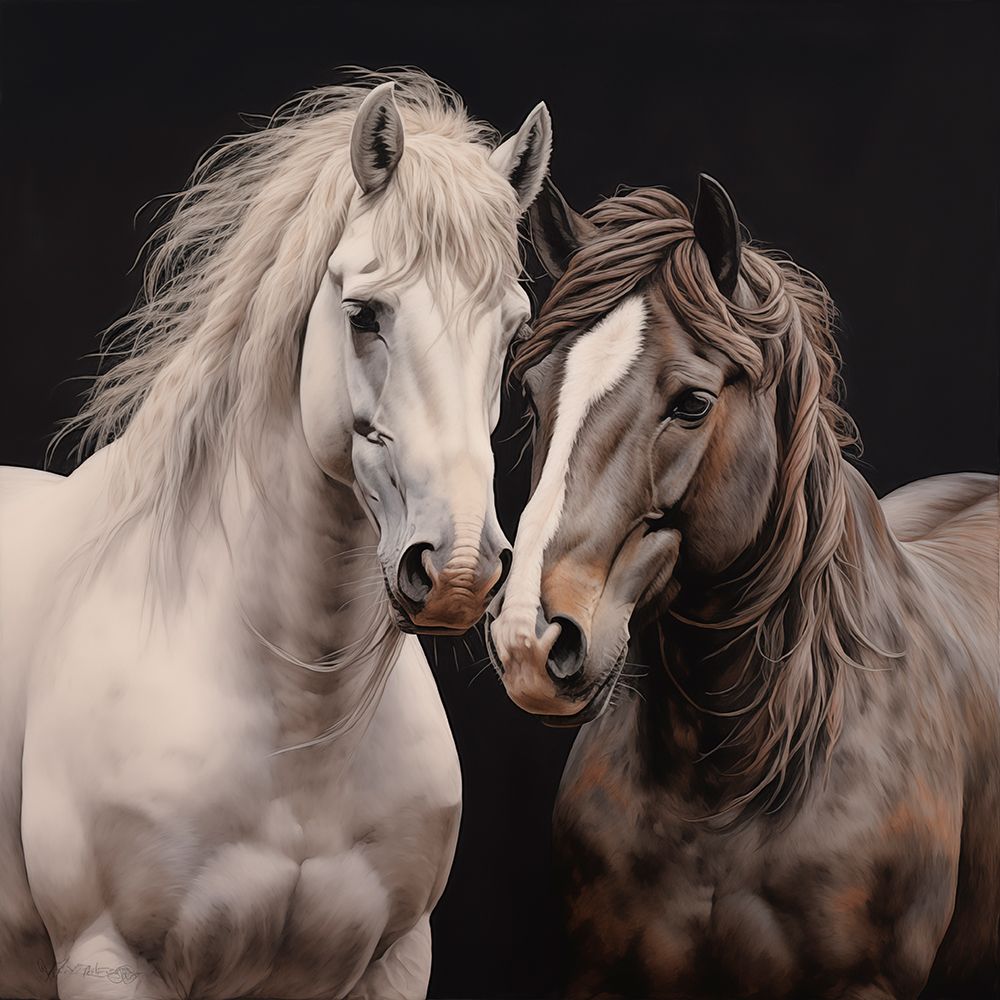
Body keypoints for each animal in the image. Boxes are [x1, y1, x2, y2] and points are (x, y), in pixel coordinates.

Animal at [0, 71, 552, 1000]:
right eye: (364, 314)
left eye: (512, 331)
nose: (458, 571)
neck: (301, 734)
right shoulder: (108, 959)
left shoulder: (393, 962)